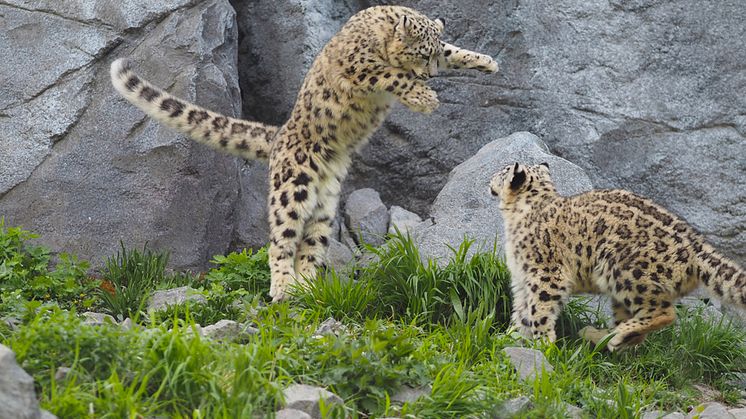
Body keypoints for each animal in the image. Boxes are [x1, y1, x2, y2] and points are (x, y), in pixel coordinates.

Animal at [112, 6, 494, 302]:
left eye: (434, 54)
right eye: (421, 54)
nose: (430, 76)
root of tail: (280, 135)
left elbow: (453, 52)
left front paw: (486, 62)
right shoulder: (359, 65)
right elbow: (391, 74)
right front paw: (424, 98)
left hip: (324, 205)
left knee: (310, 246)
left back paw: (308, 287)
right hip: (290, 188)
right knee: (280, 242)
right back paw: (283, 288)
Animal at [488, 162, 744, 352]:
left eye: (503, 170)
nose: (488, 180)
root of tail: (697, 243)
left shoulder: (546, 274)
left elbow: (539, 310)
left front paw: (543, 344)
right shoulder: (522, 278)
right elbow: (522, 312)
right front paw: (506, 339)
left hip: (625, 270)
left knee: (664, 312)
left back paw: (611, 335)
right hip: (621, 289)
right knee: (634, 326)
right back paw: (605, 336)